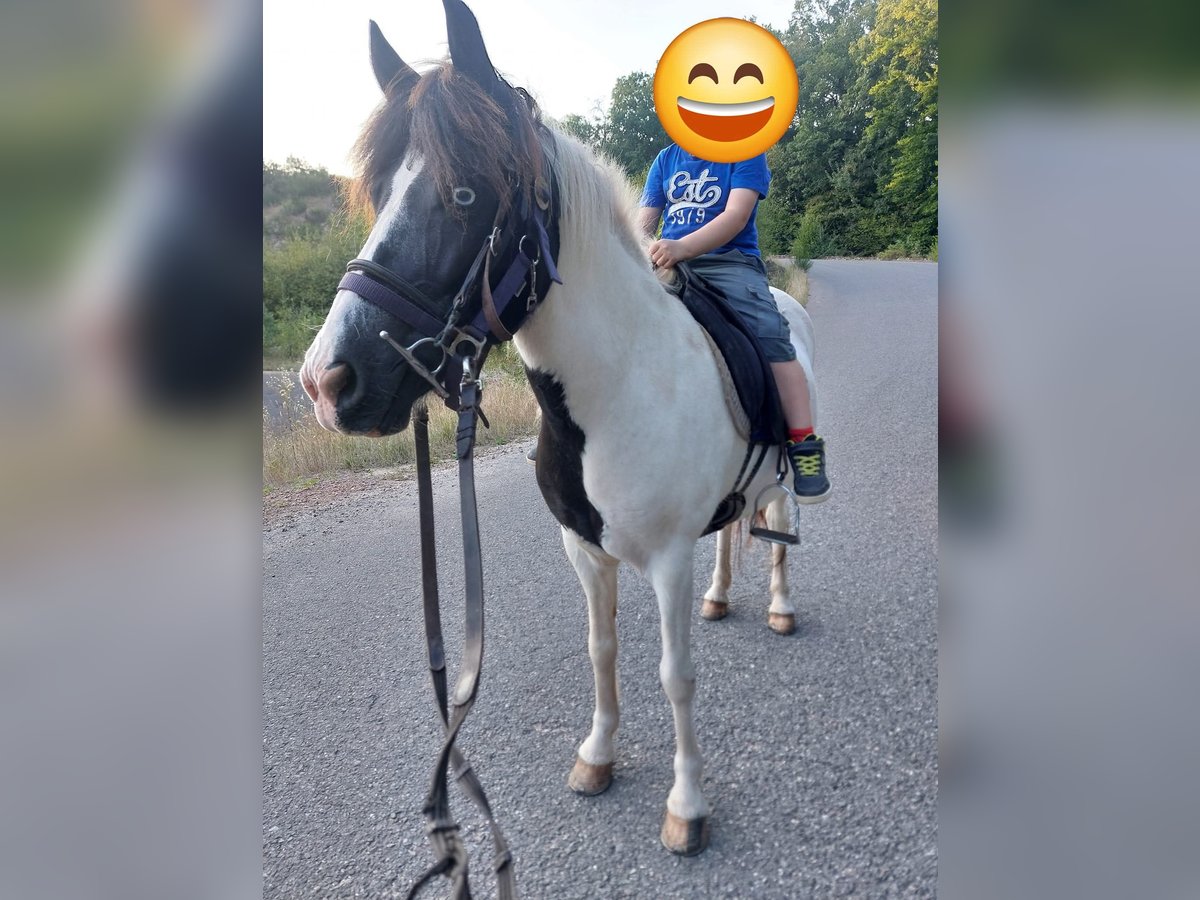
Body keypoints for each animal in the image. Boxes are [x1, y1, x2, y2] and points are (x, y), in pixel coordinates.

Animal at [300, 0, 821, 858]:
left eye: (465, 195)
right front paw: (598, 758)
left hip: (780, 472)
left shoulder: (666, 560)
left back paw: (779, 607)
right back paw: (723, 598)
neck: (614, 391)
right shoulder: (585, 551)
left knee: (778, 519)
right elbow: (600, 652)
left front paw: (686, 805)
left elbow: (675, 676)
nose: (326, 382)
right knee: (732, 534)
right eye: (376, 192)